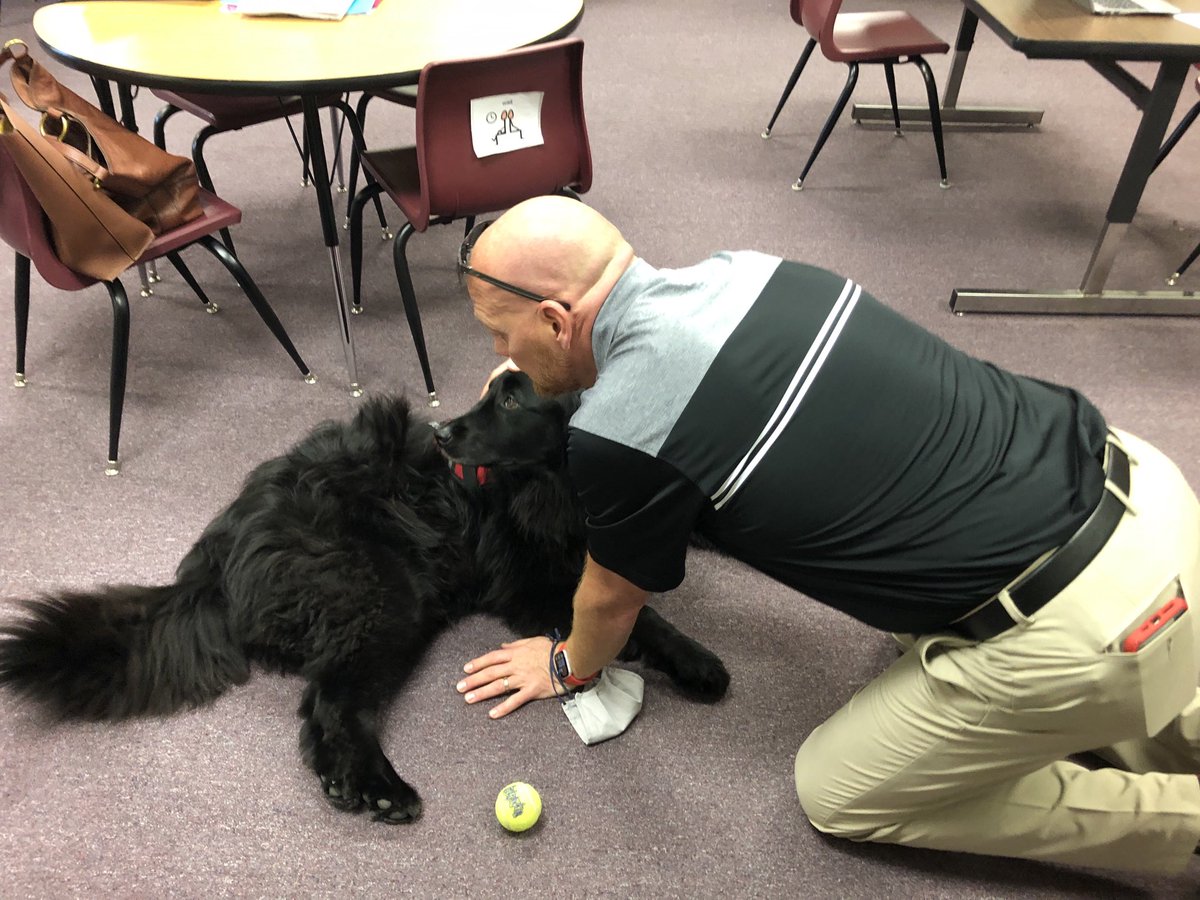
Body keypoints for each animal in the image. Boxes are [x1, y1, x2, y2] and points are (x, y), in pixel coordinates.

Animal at [0, 372, 729, 825]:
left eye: (512, 402)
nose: (444, 434)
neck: (552, 480)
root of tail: (216, 552)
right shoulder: (532, 578)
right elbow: (644, 617)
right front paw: (699, 663)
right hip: (383, 598)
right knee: (328, 705)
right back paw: (378, 788)